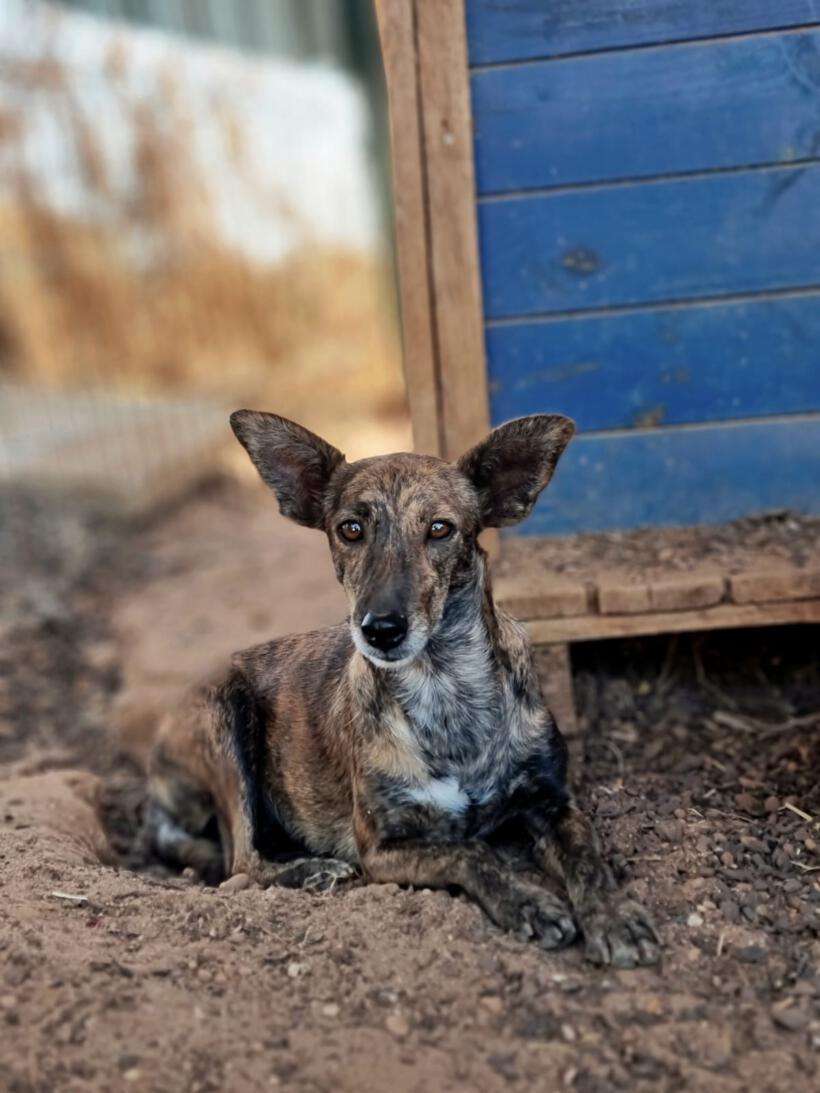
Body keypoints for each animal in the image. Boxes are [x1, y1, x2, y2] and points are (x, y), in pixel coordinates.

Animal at [147, 410, 660, 966]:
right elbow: (469, 851)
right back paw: (311, 869)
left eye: (440, 529)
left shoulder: (553, 803)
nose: (381, 629)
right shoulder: (381, 847)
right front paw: (528, 902)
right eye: (350, 529)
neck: (445, 685)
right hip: (225, 716)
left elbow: (588, 857)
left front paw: (615, 917)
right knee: (240, 864)